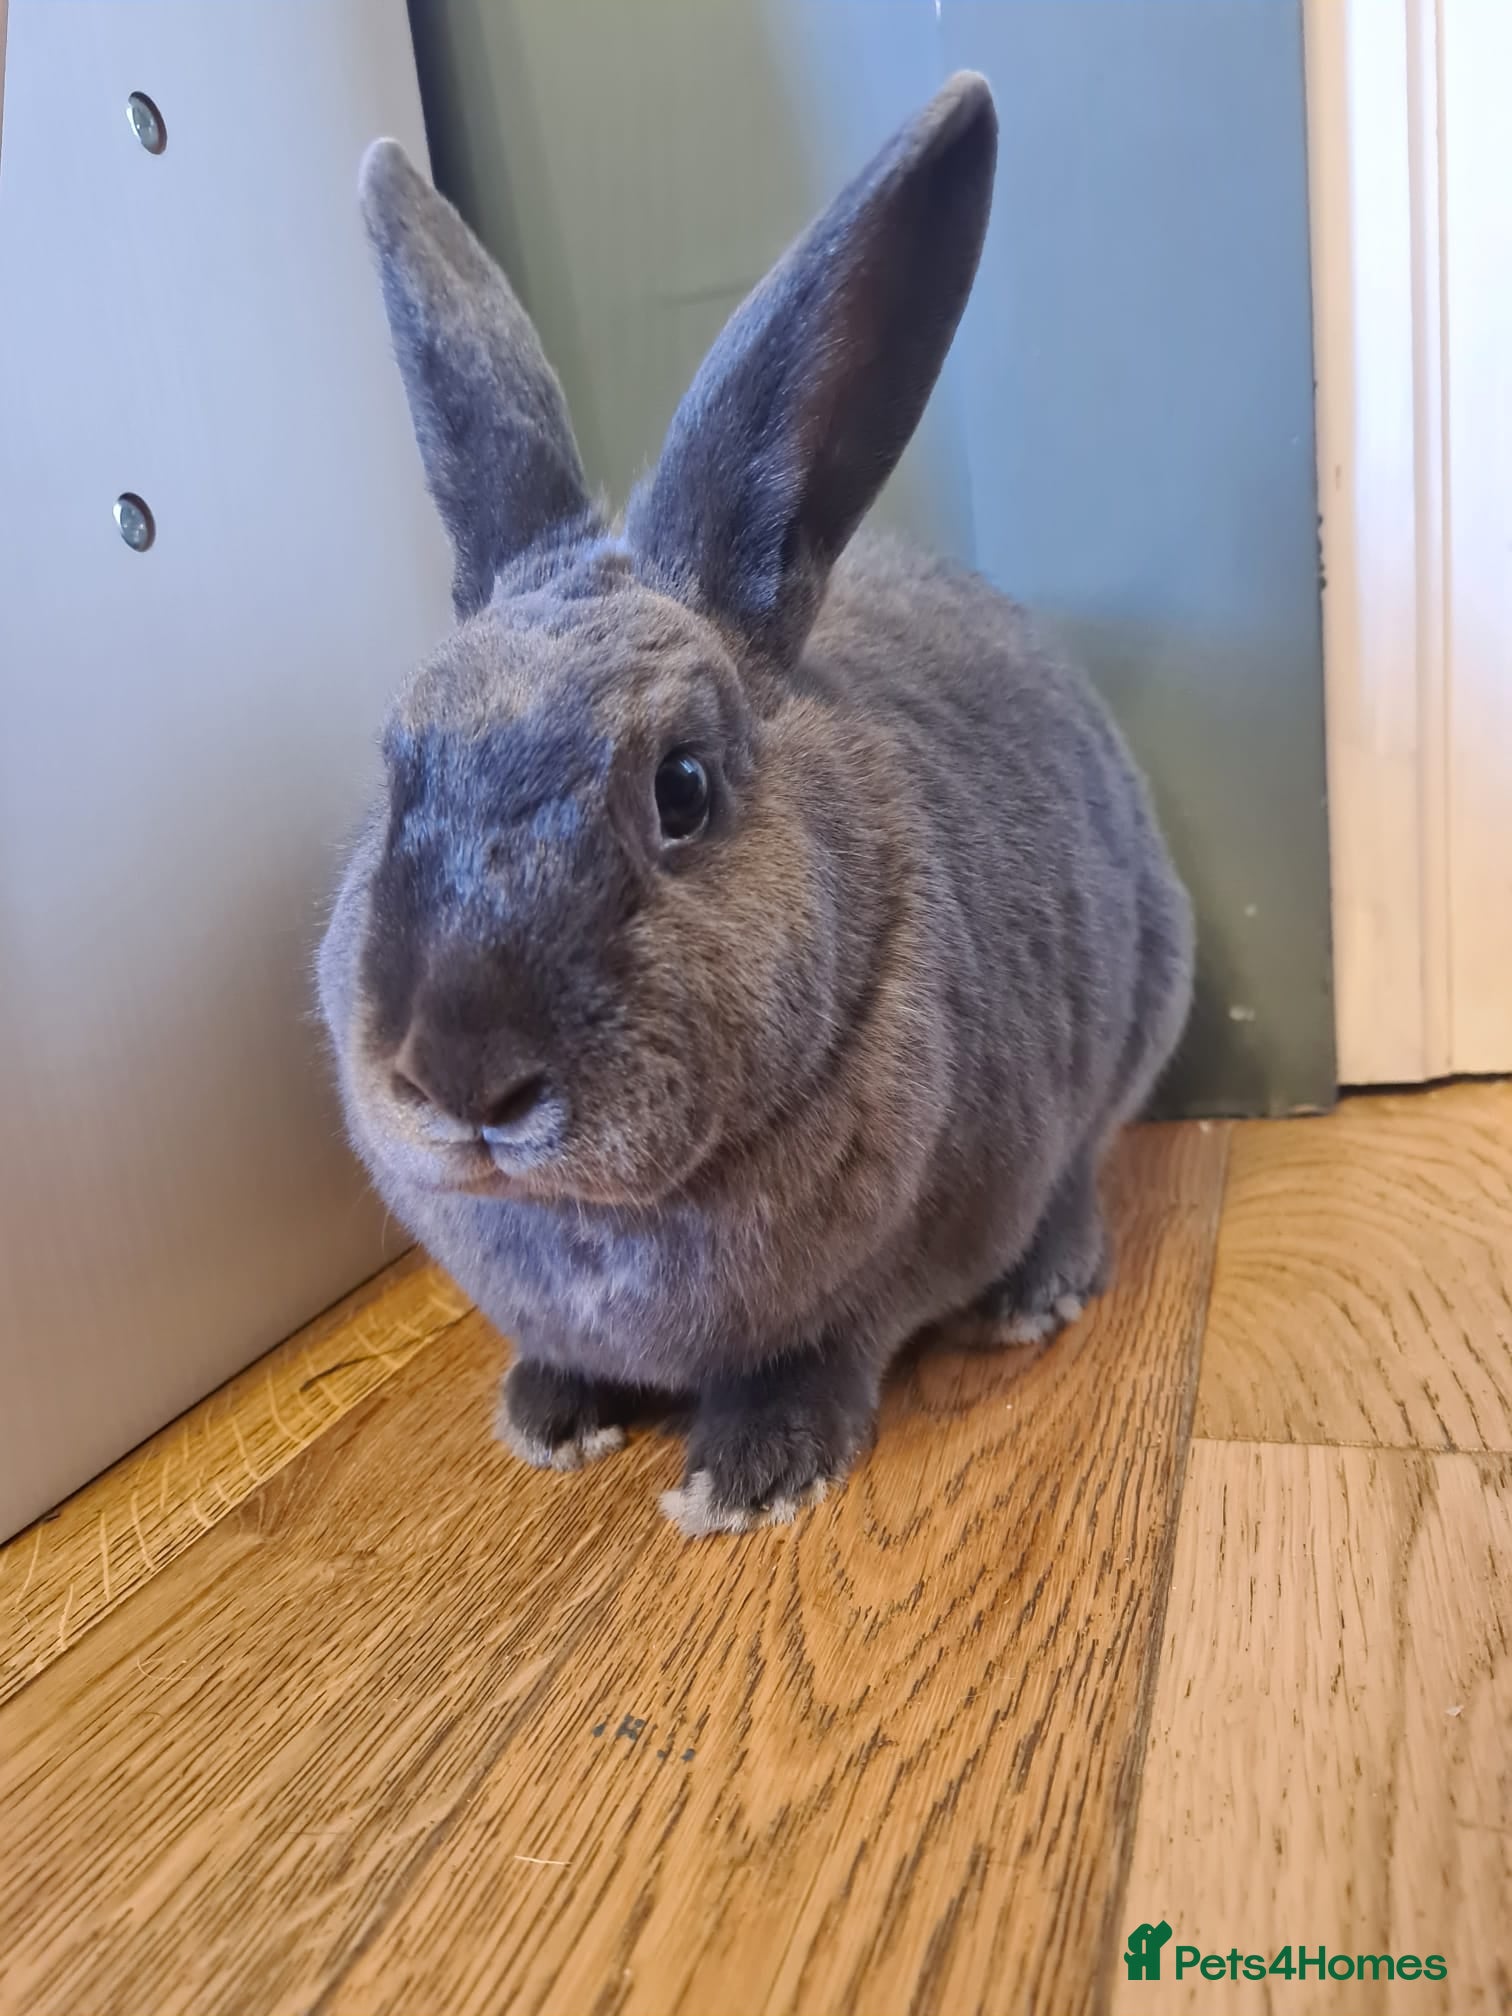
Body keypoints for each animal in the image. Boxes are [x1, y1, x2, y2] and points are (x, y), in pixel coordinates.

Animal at [317, 72, 1195, 1538]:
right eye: (395, 773)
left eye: (682, 787)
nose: (462, 1076)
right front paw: (548, 1416)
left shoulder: (893, 1263)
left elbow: (829, 1348)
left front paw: (749, 1476)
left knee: (1081, 1172)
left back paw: (1039, 1294)